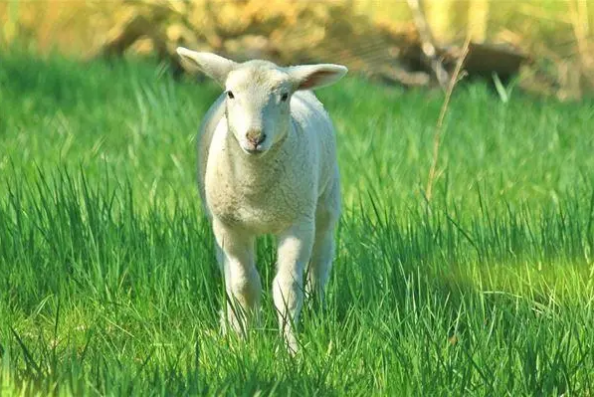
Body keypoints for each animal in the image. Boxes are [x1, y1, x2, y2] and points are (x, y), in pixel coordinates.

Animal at [173, 48, 344, 352]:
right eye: (230, 93)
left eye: (284, 96)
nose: (255, 137)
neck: (255, 191)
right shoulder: (230, 226)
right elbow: (243, 284)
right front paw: (246, 337)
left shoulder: (296, 224)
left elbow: (286, 289)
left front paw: (290, 348)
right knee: (228, 274)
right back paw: (230, 323)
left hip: (325, 202)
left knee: (321, 260)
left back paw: (317, 308)